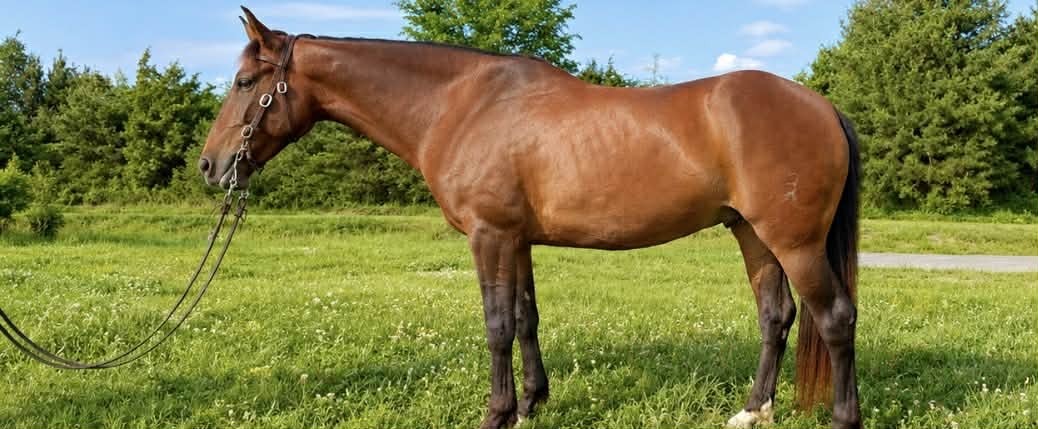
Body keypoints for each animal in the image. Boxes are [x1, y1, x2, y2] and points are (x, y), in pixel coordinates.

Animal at [200, 8, 862, 429]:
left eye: (244, 81)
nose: (211, 165)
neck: (461, 106)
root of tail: (822, 105)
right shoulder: (516, 239)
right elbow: (525, 319)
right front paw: (529, 405)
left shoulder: (489, 237)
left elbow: (496, 326)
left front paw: (496, 413)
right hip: (752, 233)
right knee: (776, 315)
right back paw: (752, 410)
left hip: (795, 242)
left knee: (835, 318)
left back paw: (841, 417)